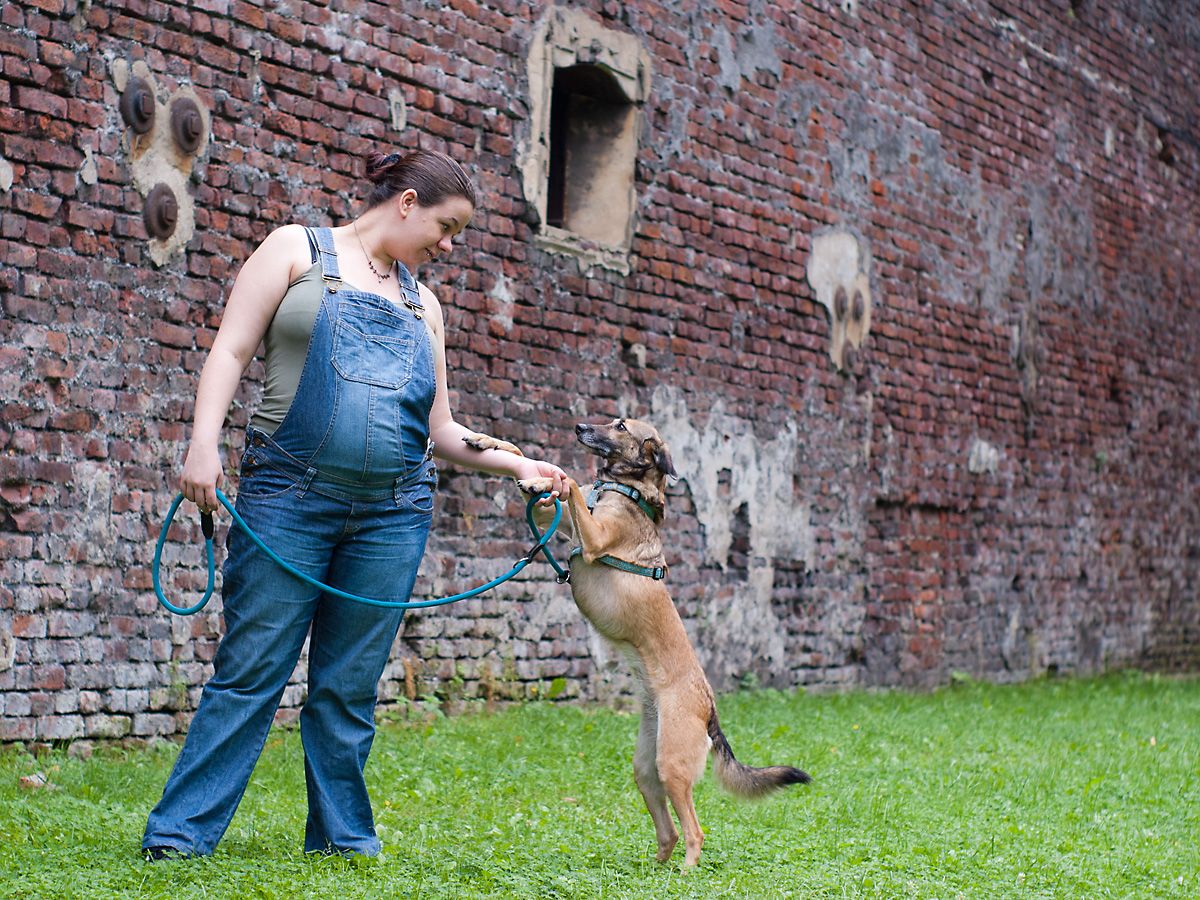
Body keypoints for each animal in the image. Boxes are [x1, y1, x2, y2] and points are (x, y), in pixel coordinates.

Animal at [511, 420, 811, 868]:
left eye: (620, 426)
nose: (580, 426)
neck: (626, 489)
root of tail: (709, 706)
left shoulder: (594, 538)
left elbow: (575, 489)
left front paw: (548, 479)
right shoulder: (567, 525)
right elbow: (536, 469)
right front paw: (520, 467)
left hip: (671, 765)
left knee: (695, 831)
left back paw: (686, 872)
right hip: (646, 767)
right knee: (668, 830)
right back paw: (655, 868)